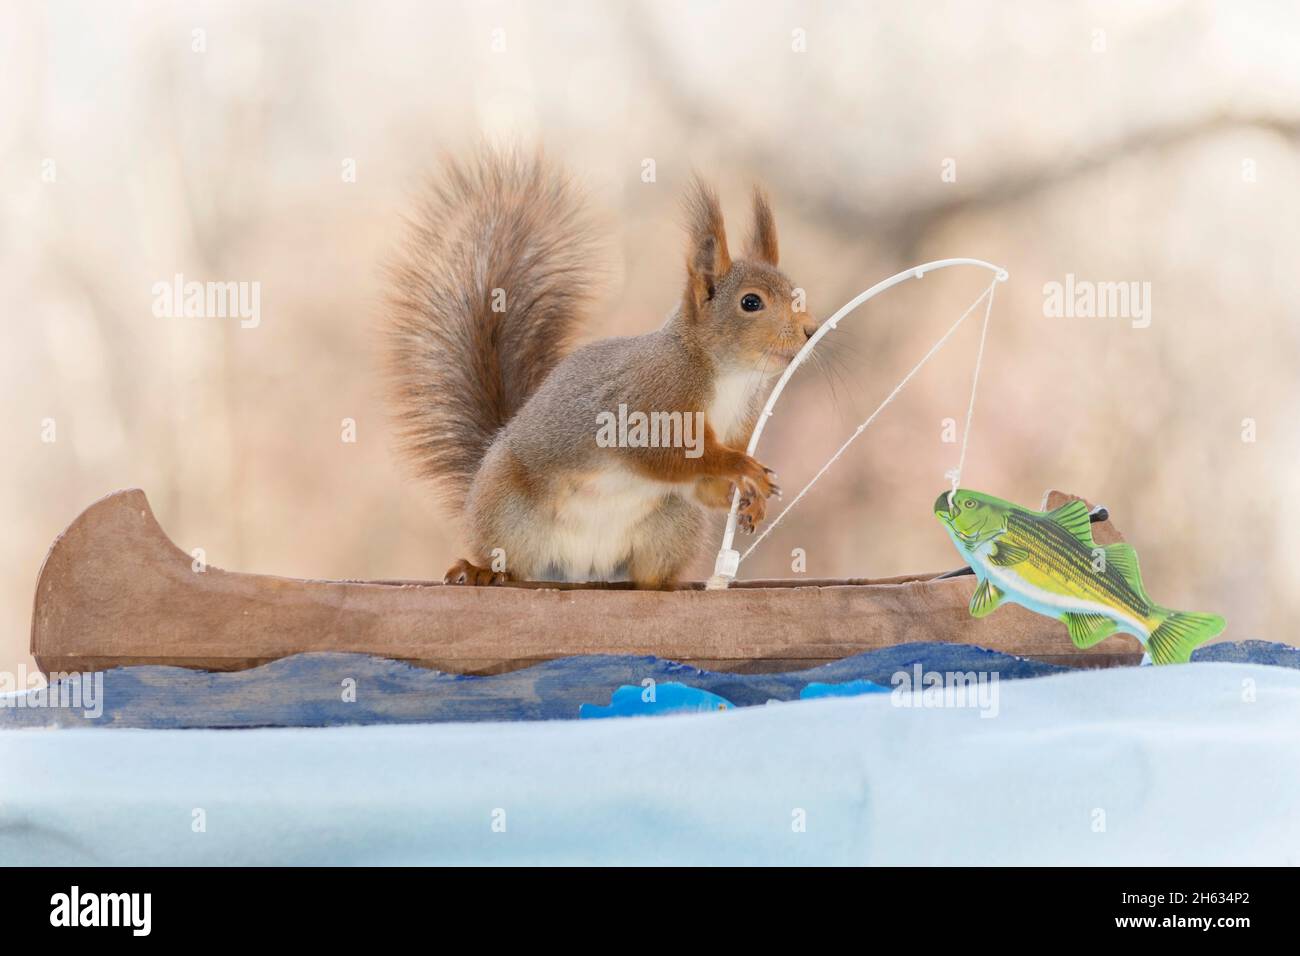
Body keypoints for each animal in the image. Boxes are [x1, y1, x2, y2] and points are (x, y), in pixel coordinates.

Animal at [386, 148, 816, 588]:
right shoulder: (650, 402)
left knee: (650, 573)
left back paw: (666, 584)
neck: (729, 376)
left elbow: (704, 488)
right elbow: (665, 456)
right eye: (751, 302)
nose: (810, 330)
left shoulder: (738, 422)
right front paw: (741, 467)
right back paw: (480, 569)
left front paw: (749, 499)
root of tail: (583, 569)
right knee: (510, 561)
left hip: (672, 524)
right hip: (506, 508)